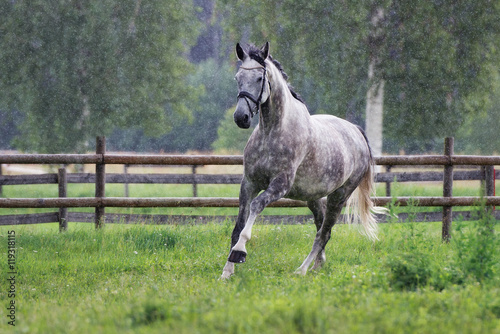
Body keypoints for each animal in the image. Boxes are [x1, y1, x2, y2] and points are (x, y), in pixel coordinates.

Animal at [220, 42, 382, 280]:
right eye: (238, 77)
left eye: (259, 78)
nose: (241, 117)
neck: (273, 131)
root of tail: (357, 131)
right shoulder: (249, 183)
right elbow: (239, 224)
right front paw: (227, 271)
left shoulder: (280, 185)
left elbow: (256, 206)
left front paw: (240, 252)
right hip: (313, 197)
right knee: (321, 226)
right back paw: (317, 265)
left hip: (340, 195)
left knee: (324, 233)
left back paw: (302, 270)